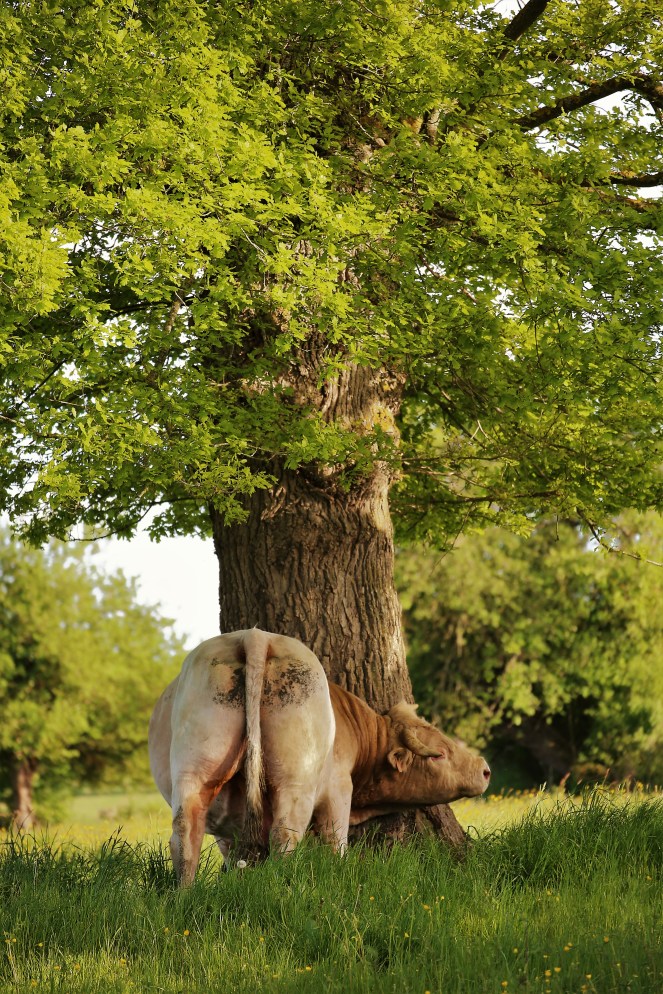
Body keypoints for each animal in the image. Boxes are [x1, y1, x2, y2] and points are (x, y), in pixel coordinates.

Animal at [149, 628, 491, 884]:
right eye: (438, 755)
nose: (485, 769)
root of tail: (254, 636)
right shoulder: (339, 788)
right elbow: (335, 841)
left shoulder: (227, 827)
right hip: (295, 778)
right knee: (285, 834)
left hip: (195, 770)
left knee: (184, 833)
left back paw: (186, 894)